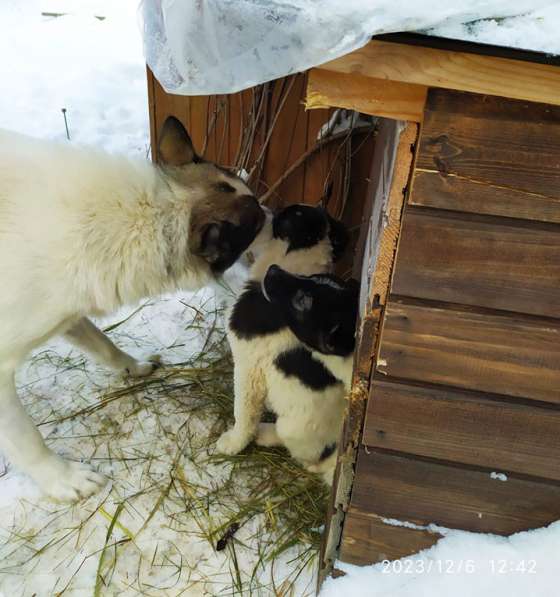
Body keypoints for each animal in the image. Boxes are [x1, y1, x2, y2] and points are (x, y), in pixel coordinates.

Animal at [0, 116, 266, 498]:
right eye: (256, 225)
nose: (270, 212)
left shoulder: (67, 314)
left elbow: (105, 345)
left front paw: (135, 368)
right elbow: (27, 440)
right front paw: (63, 480)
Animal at [217, 206, 348, 484]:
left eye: (284, 214)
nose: (264, 210)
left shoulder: (249, 367)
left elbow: (243, 413)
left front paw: (232, 443)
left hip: (294, 428)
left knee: (308, 459)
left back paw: (266, 434)